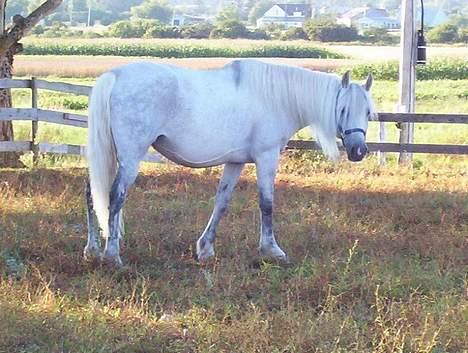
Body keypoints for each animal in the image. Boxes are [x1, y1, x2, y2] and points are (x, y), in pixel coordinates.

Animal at [84, 59, 374, 266]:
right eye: (343, 109)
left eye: (368, 112)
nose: (359, 150)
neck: (276, 98)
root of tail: (115, 75)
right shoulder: (266, 157)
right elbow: (266, 204)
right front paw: (272, 250)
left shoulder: (236, 162)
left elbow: (221, 203)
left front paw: (205, 249)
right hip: (131, 158)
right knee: (115, 197)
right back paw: (112, 255)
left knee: (92, 193)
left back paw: (92, 250)